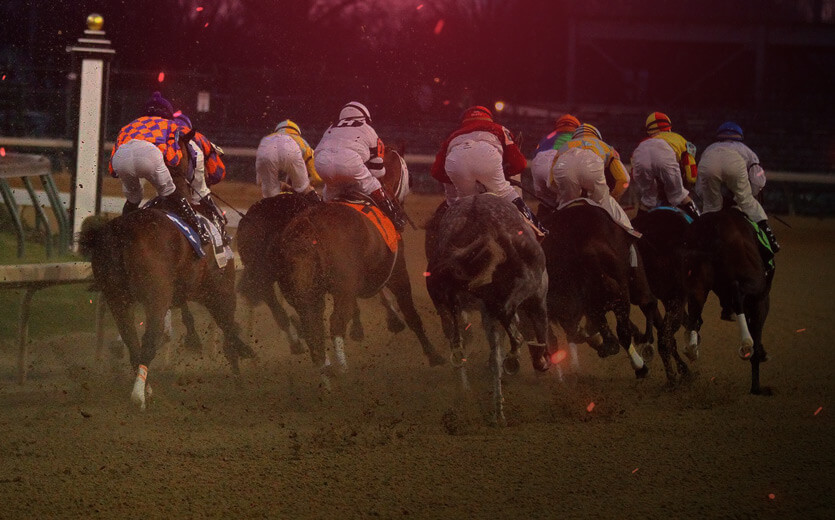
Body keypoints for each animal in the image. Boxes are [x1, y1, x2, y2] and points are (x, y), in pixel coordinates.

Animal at [80, 129, 253, 410]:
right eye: (201, 155)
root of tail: (121, 231)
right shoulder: (220, 289)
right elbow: (228, 329)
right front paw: (241, 372)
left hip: (117, 297)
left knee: (132, 341)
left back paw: (145, 387)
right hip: (156, 295)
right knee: (150, 339)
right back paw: (139, 396)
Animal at [272, 149, 448, 386]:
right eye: (409, 178)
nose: (400, 209)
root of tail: (308, 228)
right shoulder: (397, 272)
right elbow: (411, 314)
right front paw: (433, 355)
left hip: (303, 292)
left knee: (312, 328)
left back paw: (326, 378)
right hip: (341, 289)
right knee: (336, 323)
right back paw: (343, 370)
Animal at [684, 207, 772, 394]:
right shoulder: (761, 302)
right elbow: (757, 332)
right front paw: (757, 384)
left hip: (697, 279)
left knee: (695, 311)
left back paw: (691, 348)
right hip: (754, 282)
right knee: (738, 293)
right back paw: (746, 345)